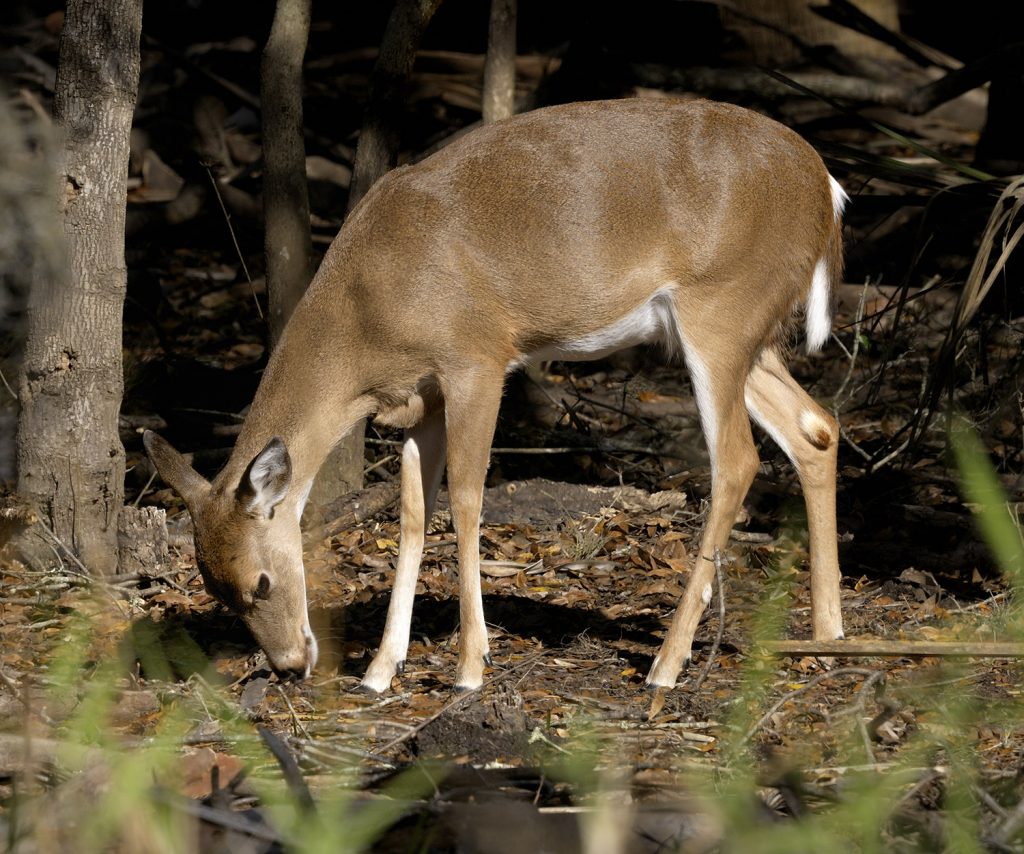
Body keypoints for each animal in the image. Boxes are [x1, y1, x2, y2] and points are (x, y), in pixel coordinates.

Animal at [144, 94, 847, 692]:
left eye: (261, 582)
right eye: (218, 591)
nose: (289, 664)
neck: (367, 320)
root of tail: (827, 188)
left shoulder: (476, 357)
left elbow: (466, 499)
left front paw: (469, 666)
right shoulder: (420, 397)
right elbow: (412, 510)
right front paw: (381, 669)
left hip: (721, 306)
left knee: (738, 460)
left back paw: (667, 665)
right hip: (736, 332)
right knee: (816, 426)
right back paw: (826, 633)